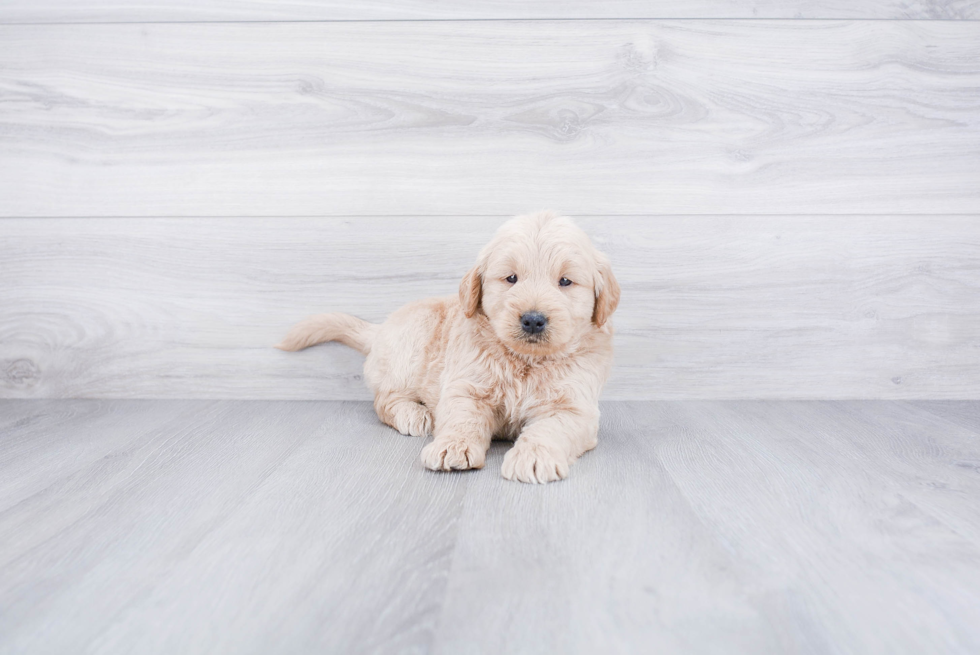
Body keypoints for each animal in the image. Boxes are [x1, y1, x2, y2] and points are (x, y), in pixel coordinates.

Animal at [276, 210, 620, 482]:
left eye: (565, 282)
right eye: (511, 278)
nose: (533, 320)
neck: (524, 360)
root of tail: (380, 329)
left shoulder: (575, 408)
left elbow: (551, 428)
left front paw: (534, 456)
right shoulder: (465, 387)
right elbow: (461, 419)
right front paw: (452, 446)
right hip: (412, 343)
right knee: (384, 400)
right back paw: (414, 415)